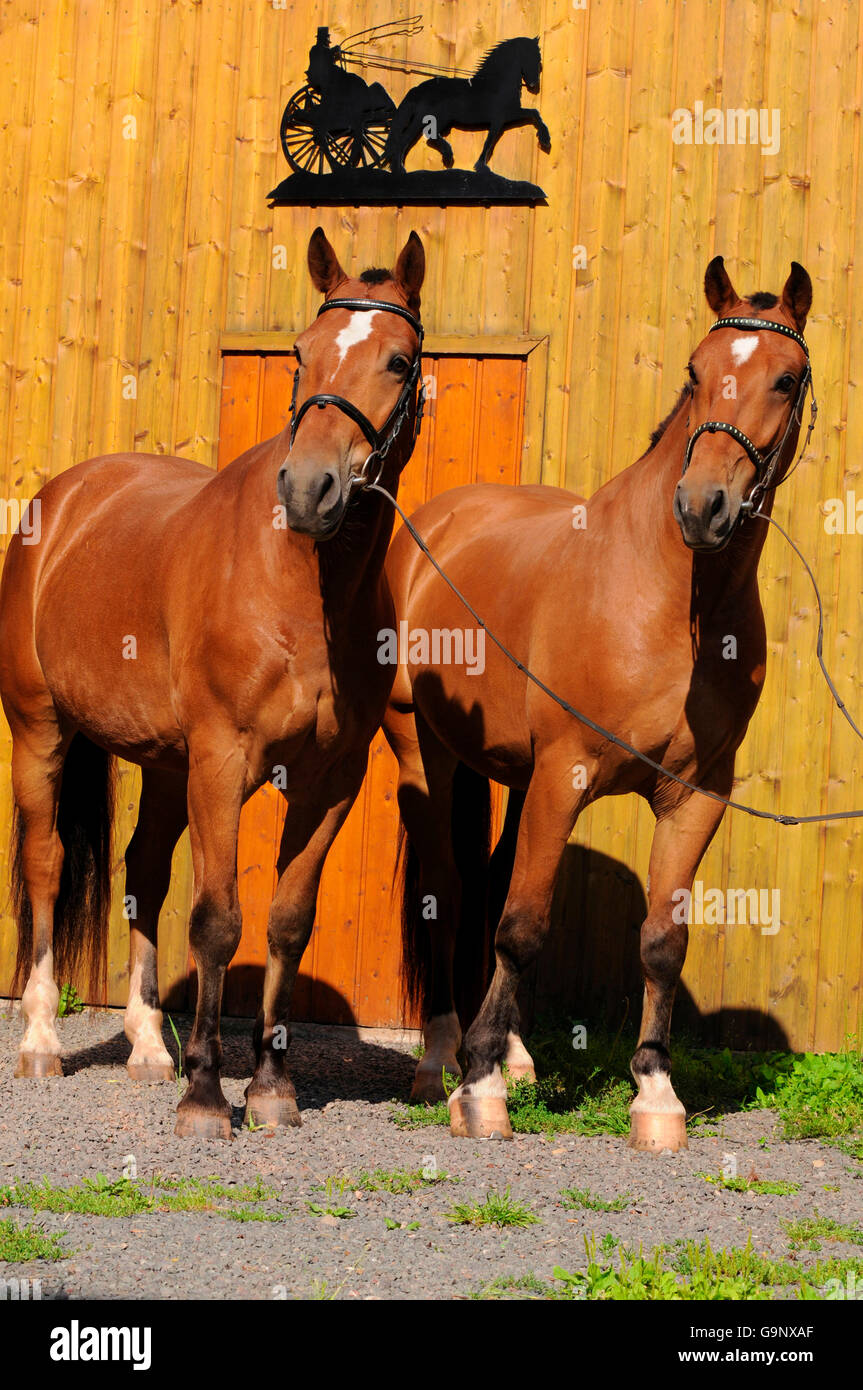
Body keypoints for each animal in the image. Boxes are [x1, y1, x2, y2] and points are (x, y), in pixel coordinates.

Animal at [0, 227, 425, 1139]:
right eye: (301, 352)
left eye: (399, 361)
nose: (309, 488)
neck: (302, 586)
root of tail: (66, 496)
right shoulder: (224, 763)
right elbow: (219, 921)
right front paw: (204, 1094)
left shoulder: (330, 781)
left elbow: (286, 925)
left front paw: (268, 1087)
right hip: (40, 729)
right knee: (48, 865)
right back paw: (43, 1041)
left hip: (165, 763)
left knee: (142, 873)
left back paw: (147, 1048)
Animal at [383, 37, 551, 176]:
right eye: (533, 57)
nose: (534, 84)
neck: (497, 83)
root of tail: (418, 89)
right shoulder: (501, 118)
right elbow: (490, 141)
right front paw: (482, 167)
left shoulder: (508, 116)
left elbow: (534, 113)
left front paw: (545, 140)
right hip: (427, 119)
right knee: (410, 139)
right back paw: (403, 169)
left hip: (439, 120)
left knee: (428, 137)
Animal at [383, 258, 813, 1152]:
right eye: (694, 370)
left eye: (785, 379)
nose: (701, 506)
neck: (670, 599)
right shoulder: (566, 772)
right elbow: (522, 926)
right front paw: (479, 1090)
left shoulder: (694, 795)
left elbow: (660, 940)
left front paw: (654, 1092)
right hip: (423, 750)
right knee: (450, 890)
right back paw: (442, 1060)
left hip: (517, 779)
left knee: (495, 879)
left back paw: (511, 1054)